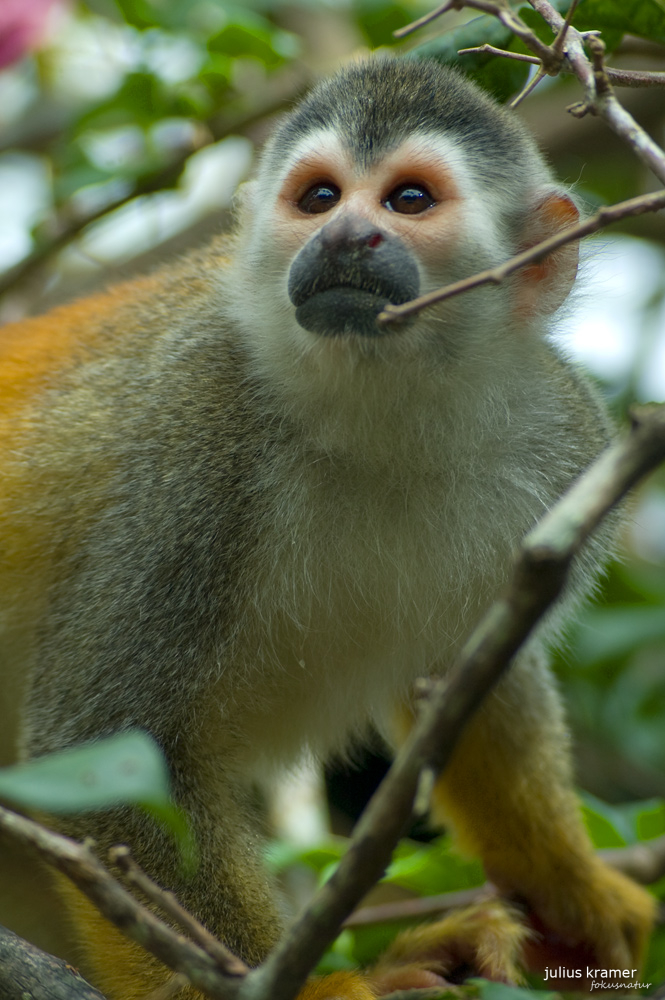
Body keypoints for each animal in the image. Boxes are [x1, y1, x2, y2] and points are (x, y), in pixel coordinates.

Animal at [0, 58, 652, 996]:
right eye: (318, 198)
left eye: (408, 199)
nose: (345, 236)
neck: (375, 403)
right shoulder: (193, 434)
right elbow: (104, 753)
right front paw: (317, 986)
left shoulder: (565, 440)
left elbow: (470, 683)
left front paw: (568, 885)